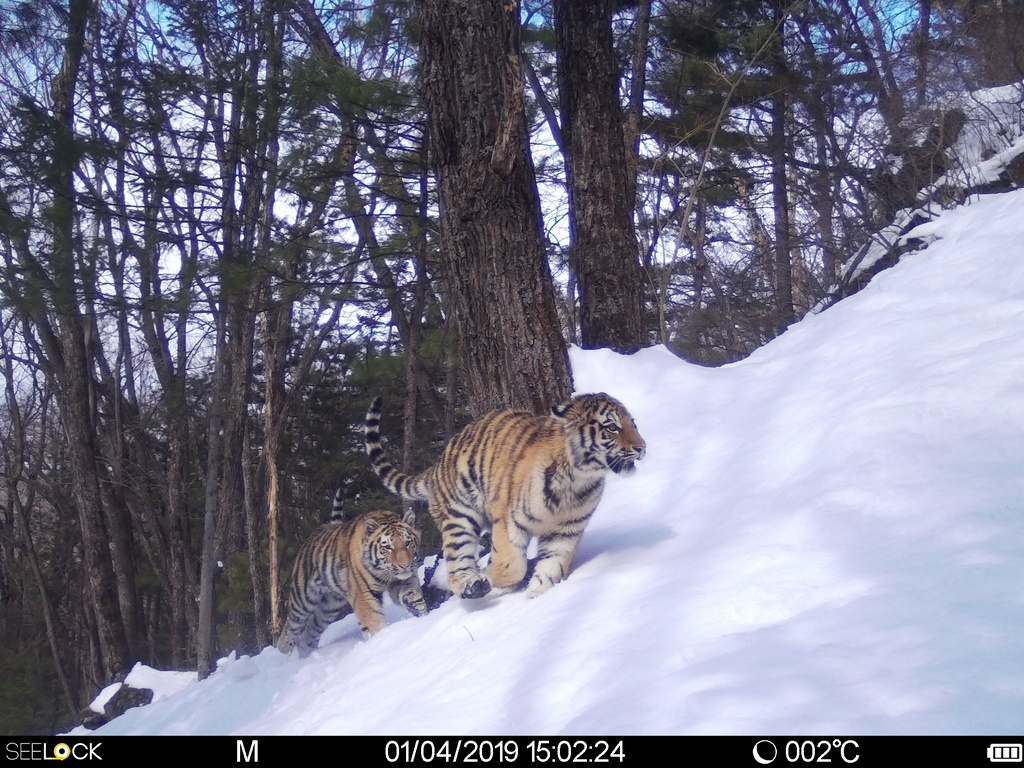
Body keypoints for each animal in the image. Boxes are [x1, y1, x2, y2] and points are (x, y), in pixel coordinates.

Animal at [276, 489, 428, 657]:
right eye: (388, 547)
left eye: (408, 543)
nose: (405, 565)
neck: (385, 573)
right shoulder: (363, 594)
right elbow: (374, 621)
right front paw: (381, 640)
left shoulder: (403, 582)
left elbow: (415, 599)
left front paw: (424, 618)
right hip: (303, 599)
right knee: (291, 625)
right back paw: (284, 651)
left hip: (330, 607)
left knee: (310, 631)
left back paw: (305, 656)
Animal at [364, 392, 646, 600]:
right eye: (612, 427)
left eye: (633, 423)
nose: (642, 448)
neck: (578, 480)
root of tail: (437, 466)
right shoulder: (509, 521)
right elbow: (512, 566)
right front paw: (491, 577)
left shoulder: (566, 530)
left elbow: (552, 567)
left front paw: (537, 596)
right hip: (460, 519)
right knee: (456, 565)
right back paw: (471, 585)